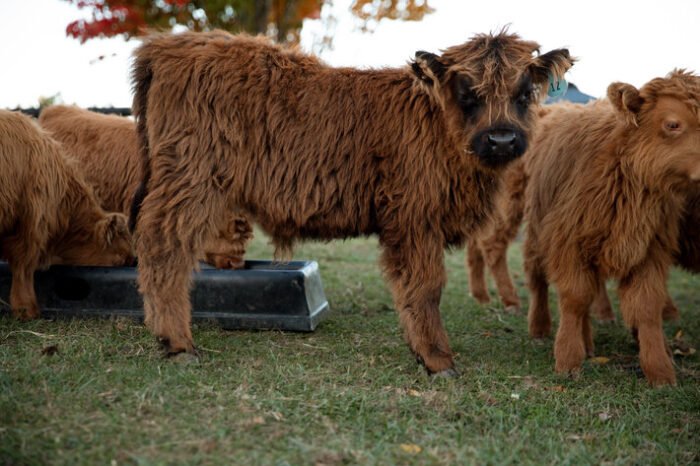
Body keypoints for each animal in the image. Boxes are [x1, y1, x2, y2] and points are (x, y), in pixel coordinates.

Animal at [129, 30, 572, 374]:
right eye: (467, 93)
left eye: (524, 92)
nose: (502, 139)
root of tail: (170, 44)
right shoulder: (414, 220)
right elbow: (426, 287)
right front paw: (436, 358)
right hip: (191, 180)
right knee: (165, 246)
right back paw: (177, 343)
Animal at [524, 71, 700, 386]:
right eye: (673, 124)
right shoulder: (567, 243)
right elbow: (574, 299)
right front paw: (568, 359)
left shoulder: (650, 250)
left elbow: (646, 307)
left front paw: (660, 371)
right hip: (535, 229)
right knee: (538, 279)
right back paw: (541, 328)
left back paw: (588, 343)